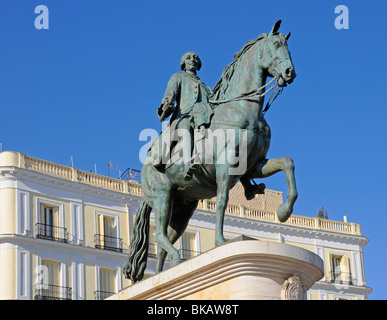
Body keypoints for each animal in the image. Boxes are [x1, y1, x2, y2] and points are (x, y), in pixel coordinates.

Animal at [123, 20, 298, 282]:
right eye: (276, 45)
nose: (290, 73)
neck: (242, 109)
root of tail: (144, 169)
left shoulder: (255, 165)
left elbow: (287, 163)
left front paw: (284, 211)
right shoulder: (226, 165)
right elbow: (222, 201)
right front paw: (220, 241)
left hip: (183, 208)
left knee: (166, 238)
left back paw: (163, 273)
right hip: (162, 195)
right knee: (159, 234)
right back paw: (175, 258)